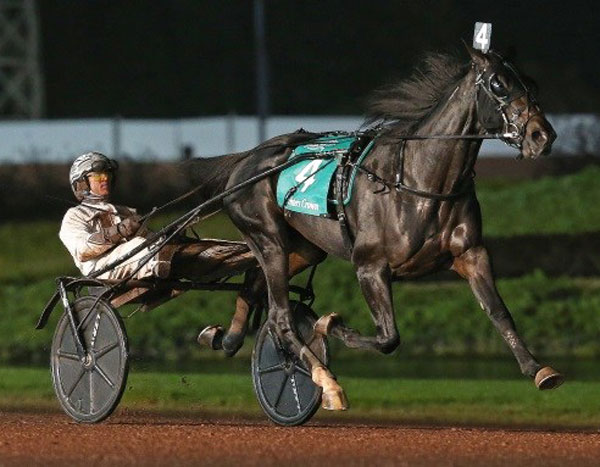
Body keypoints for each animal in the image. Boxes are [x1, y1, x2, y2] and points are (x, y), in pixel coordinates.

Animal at [193, 44, 564, 410]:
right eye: (499, 84)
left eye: (531, 83)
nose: (542, 135)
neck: (418, 178)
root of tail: (246, 160)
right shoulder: (370, 266)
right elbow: (388, 337)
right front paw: (328, 324)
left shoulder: (471, 253)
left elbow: (499, 311)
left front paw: (538, 369)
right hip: (267, 236)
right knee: (281, 319)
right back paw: (325, 382)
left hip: (303, 248)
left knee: (256, 287)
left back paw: (228, 339)